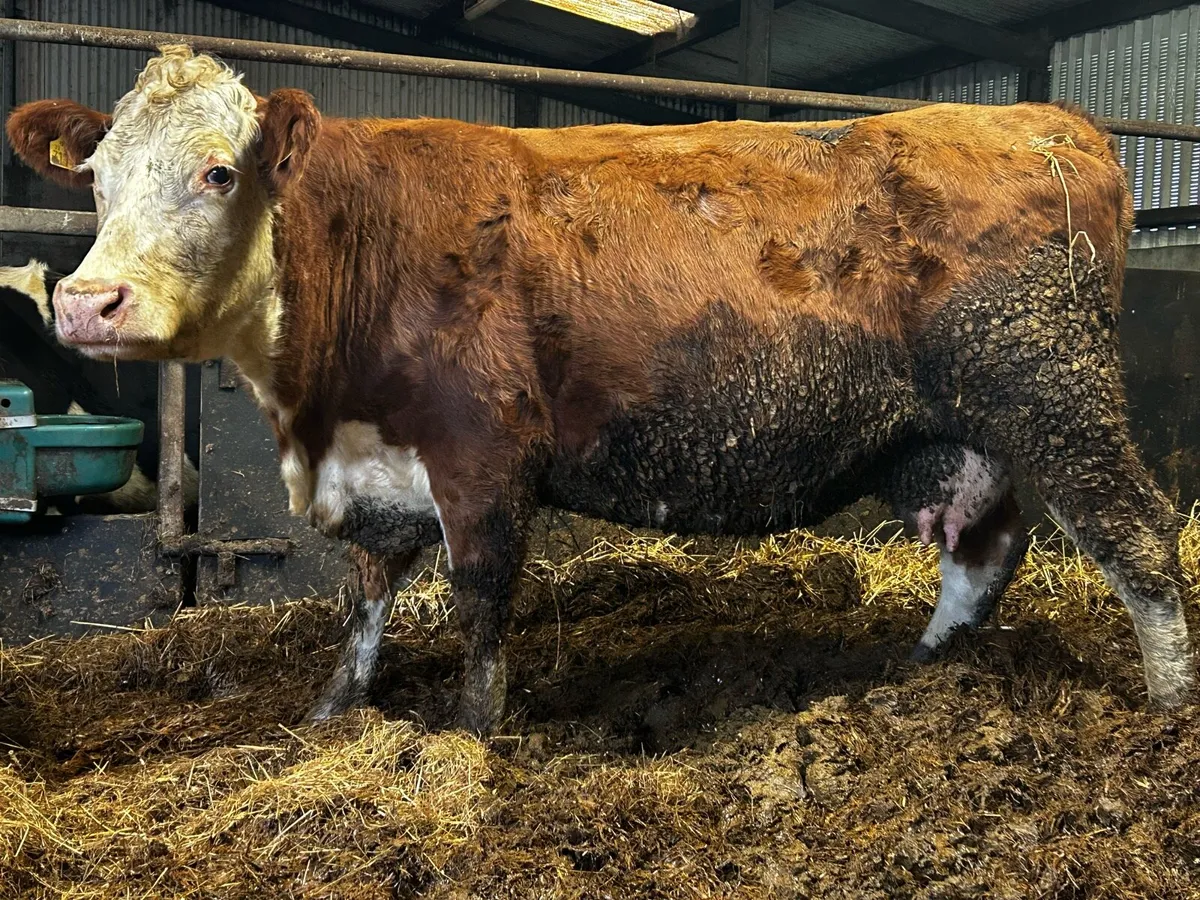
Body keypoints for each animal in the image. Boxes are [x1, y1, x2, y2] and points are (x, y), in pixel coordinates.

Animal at [5, 46, 1193, 734]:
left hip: (1054, 392)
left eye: (218, 171)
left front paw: (469, 739)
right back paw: (917, 676)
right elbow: (365, 598)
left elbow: (482, 608)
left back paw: (1167, 711)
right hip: (954, 431)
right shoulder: (376, 468)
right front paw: (333, 713)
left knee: (1138, 535)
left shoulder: (483, 457)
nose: (88, 304)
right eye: (95, 178)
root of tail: (1053, 125)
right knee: (983, 549)